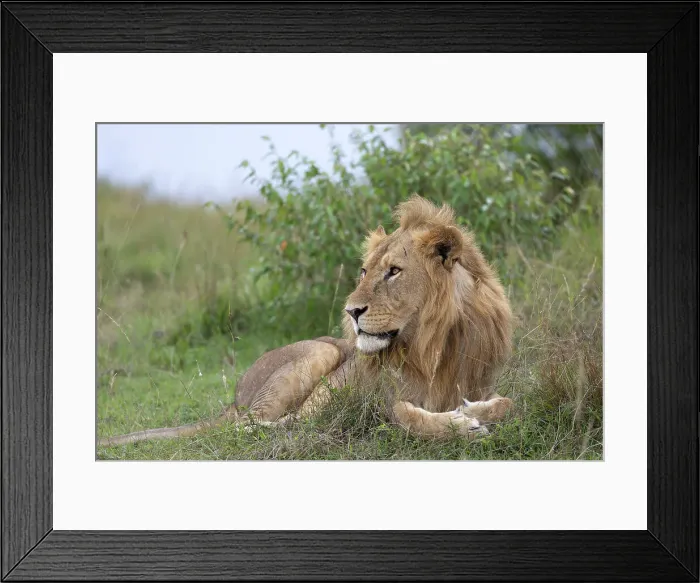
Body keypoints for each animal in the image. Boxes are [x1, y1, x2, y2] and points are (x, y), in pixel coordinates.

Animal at [98, 195, 514, 448]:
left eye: (394, 271)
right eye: (364, 271)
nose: (351, 312)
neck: (431, 345)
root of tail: (236, 398)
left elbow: (506, 403)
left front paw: (473, 411)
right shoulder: (373, 402)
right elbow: (400, 412)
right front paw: (462, 425)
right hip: (316, 356)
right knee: (261, 424)